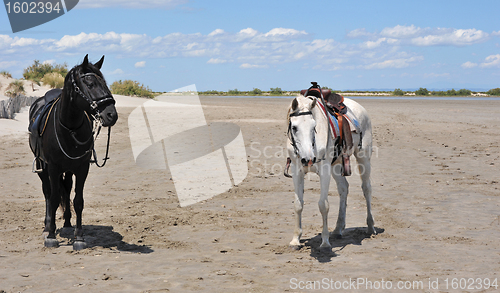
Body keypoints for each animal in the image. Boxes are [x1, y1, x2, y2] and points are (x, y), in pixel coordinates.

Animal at [29, 54, 118, 249]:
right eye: (90, 84)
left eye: (105, 83)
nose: (111, 115)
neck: (70, 128)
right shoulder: (53, 168)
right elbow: (54, 198)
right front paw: (51, 235)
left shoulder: (82, 168)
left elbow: (78, 201)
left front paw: (79, 237)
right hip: (42, 165)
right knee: (48, 193)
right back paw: (47, 227)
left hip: (68, 169)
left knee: (67, 189)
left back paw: (68, 223)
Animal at [288, 94, 374, 250]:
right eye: (294, 127)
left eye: (314, 126)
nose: (308, 159)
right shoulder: (296, 170)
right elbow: (298, 204)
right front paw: (295, 240)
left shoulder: (325, 170)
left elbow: (323, 205)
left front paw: (325, 242)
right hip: (336, 166)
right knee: (343, 188)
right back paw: (338, 229)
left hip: (363, 157)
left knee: (366, 188)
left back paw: (370, 226)